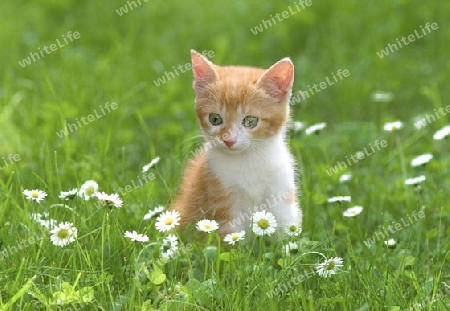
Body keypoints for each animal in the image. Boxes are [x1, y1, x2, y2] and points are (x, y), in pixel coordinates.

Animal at [171, 49, 300, 239]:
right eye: (215, 119)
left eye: (250, 121)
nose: (229, 140)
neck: (248, 160)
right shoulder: (221, 197)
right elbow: (230, 236)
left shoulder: (281, 190)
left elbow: (285, 224)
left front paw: (289, 246)